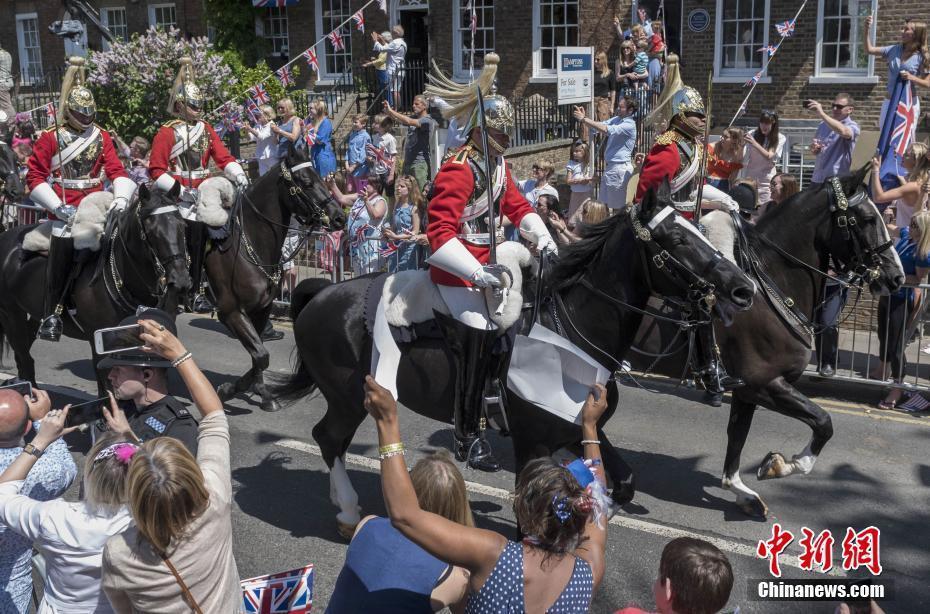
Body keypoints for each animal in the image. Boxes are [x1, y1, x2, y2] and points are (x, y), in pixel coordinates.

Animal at [0, 185, 190, 392]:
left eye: (182, 225)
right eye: (151, 229)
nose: (181, 281)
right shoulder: (98, 341)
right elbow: (106, 390)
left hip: (34, 315)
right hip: (11, 315)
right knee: (25, 359)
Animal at [201, 145, 346, 414]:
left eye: (322, 177)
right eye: (307, 182)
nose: (340, 217)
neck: (249, 244)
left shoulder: (260, 309)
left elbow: (258, 355)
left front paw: (263, 393)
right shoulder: (231, 312)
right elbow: (261, 356)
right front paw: (227, 390)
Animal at [272, 180, 756, 536]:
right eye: (676, 238)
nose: (743, 289)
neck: (569, 330)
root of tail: (323, 291)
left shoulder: (577, 427)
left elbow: (626, 482)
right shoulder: (533, 440)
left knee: (331, 440)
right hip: (347, 396)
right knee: (328, 438)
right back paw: (348, 510)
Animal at [628, 170, 904, 520]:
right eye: (867, 218)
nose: (897, 277)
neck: (769, 290)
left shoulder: (747, 390)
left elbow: (737, 437)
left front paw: (742, 490)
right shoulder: (765, 383)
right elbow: (823, 422)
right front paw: (782, 465)